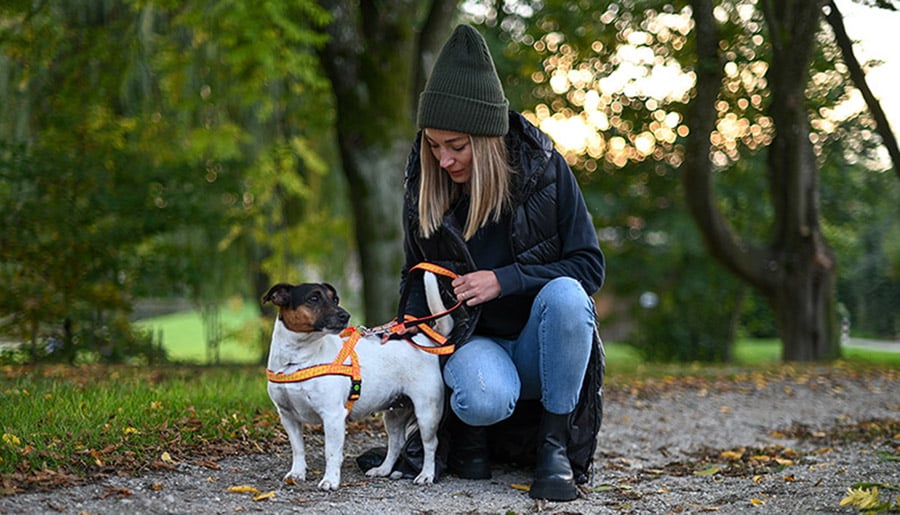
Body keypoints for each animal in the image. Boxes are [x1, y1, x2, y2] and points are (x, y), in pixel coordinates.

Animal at [264, 272, 454, 490]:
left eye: (335, 299)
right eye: (313, 298)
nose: (345, 315)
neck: (298, 360)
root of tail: (427, 341)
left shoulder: (332, 416)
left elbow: (331, 452)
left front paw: (330, 480)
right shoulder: (288, 416)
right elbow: (297, 448)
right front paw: (297, 473)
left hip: (427, 413)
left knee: (430, 445)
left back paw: (426, 474)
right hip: (395, 413)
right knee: (396, 443)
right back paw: (383, 470)